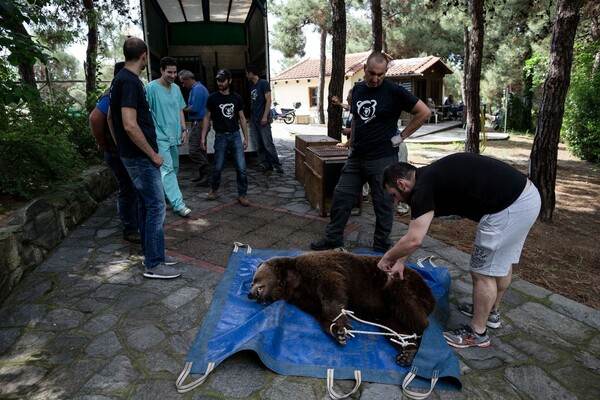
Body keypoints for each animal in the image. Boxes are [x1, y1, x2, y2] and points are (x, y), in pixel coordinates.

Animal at [248, 252, 436, 368]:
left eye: (253, 280)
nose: (250, 293)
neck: (293, 283)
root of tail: (430, 294)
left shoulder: (319, 269)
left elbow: (331, 289)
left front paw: (343, 323)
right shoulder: (305, 299)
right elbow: (321, 315)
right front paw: (339, 331)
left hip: (399, 283)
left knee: (410, 309)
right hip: (387, 315)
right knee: (396, 328)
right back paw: (407, 352)